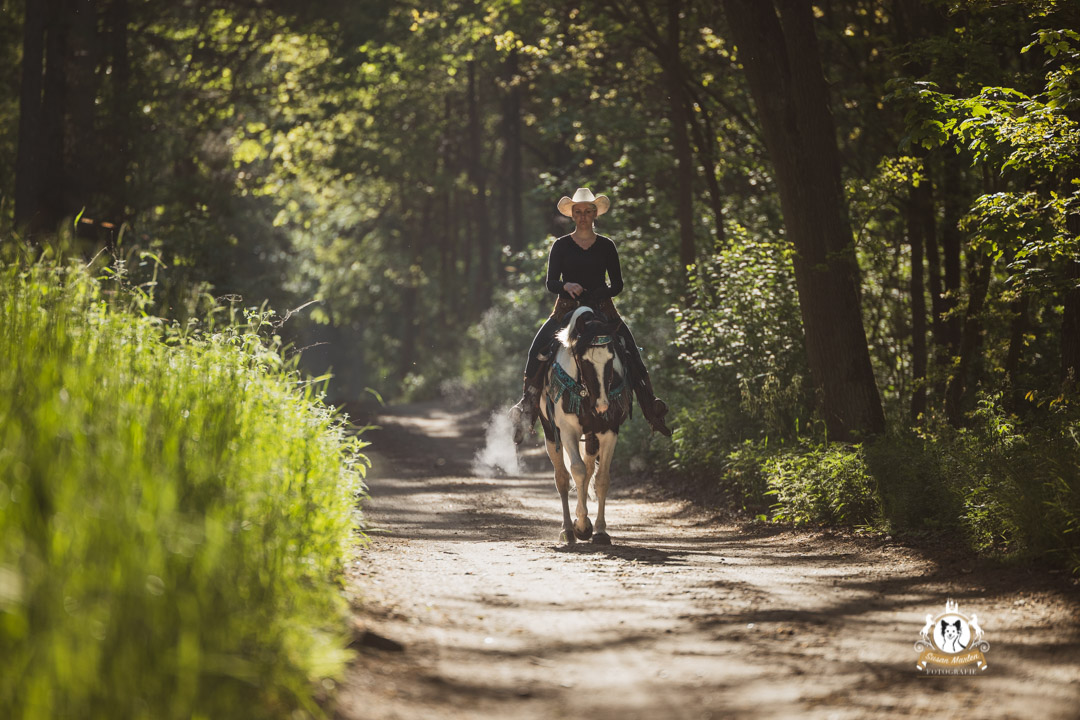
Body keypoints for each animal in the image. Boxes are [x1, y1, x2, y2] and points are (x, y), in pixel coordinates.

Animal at [537, 304, 630, 546]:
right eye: (584, 360)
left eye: (611, 358)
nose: (603, 405)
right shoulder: (567, 431)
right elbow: (577, 471)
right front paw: (581, 526)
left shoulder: (609, 431)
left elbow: (601, 479)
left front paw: (599, 530)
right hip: (551, 433)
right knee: (562, 477)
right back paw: (568, 529)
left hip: (591, 437)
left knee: (589, 471)